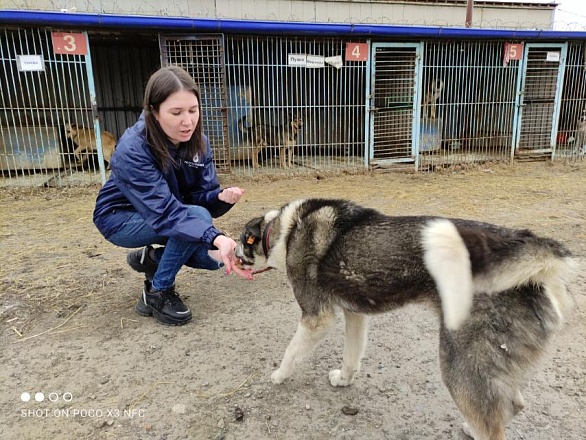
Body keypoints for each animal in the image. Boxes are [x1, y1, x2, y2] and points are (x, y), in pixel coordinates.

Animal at [235, 199, 572, 440]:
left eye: (241, 241)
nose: (232, 253)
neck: (283, 230)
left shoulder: (317, 318)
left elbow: (291, 352)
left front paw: (279, 375)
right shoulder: (354, 315)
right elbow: (351, 357)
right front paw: (343, 380)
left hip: (459, 366)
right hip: (490, 369)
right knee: (513, 405)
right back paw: (471, 427)